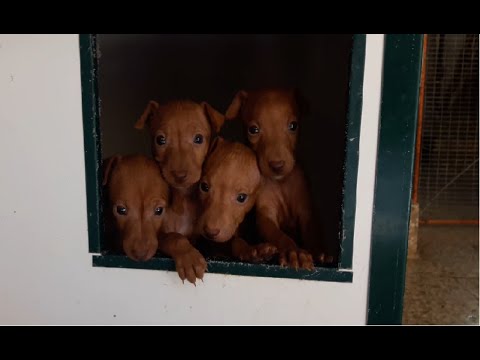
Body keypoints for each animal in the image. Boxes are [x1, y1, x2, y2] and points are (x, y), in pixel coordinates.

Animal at [136, 99, 224, 284]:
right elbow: (175, 237)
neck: (182, 198)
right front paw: (189, 259)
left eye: (198, 138)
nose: (180, 175)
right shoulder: (158, 235)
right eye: (160, 139)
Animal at [226, 89, 334, 270]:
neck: (281, 182)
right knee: (236, 242)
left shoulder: (306, 211)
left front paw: (319, 252)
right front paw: (294, 252)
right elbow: (278, 234)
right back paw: (254, 252)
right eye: (253, 129)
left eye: (293, 126)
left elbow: (311, 232)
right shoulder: (265, 214)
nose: (277, 165)